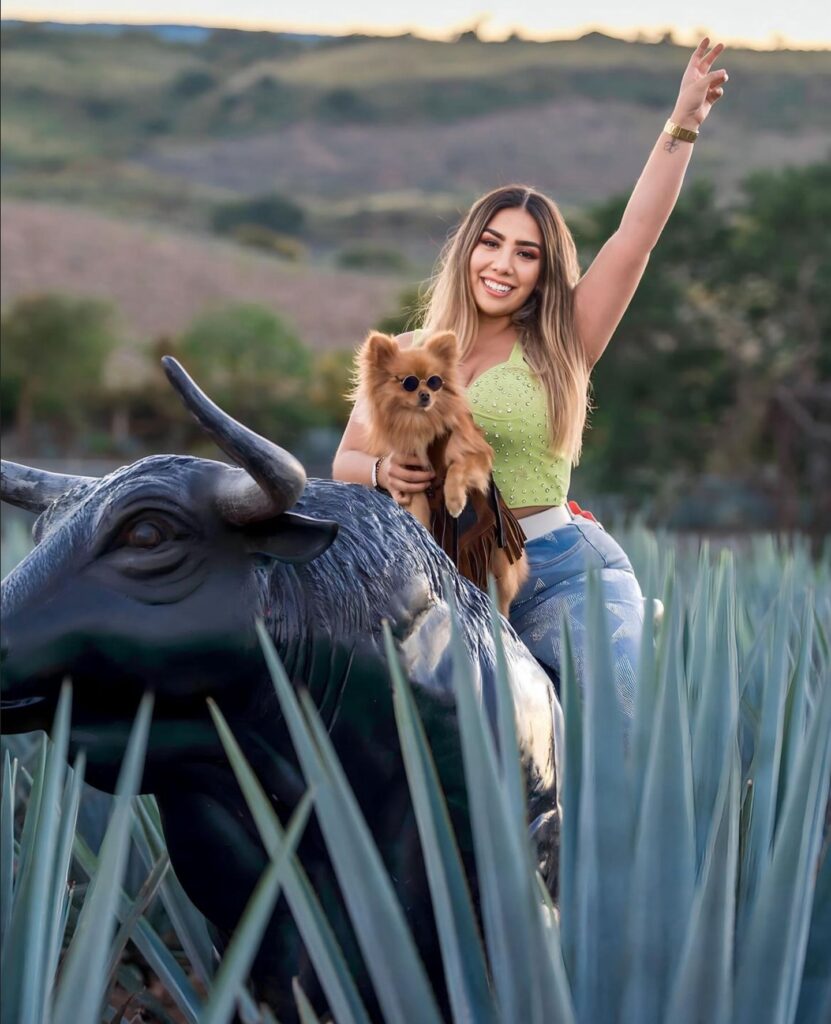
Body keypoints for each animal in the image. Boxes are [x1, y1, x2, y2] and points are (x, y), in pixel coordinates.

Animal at [350, 329, 523, 614]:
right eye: (408, 383)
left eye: (435, 382)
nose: (425, 395)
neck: (422, 424)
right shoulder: (413, 482)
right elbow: (419, 516)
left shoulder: (475, 456)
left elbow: (456, 470)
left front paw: (454, 501)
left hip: (499, 563)